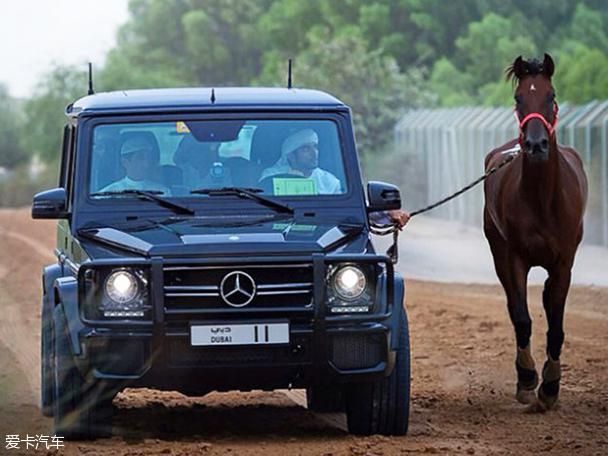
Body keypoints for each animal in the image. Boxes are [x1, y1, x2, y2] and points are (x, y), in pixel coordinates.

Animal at [482, 53, 588, 410]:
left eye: (550, 95)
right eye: (518, 98)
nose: (536, 144)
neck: (542, 200)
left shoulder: (564, 262)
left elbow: (555, 322)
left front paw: (551, 386)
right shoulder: (514, 258)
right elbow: (522, 317)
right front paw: (528, 380)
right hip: (498, 251)